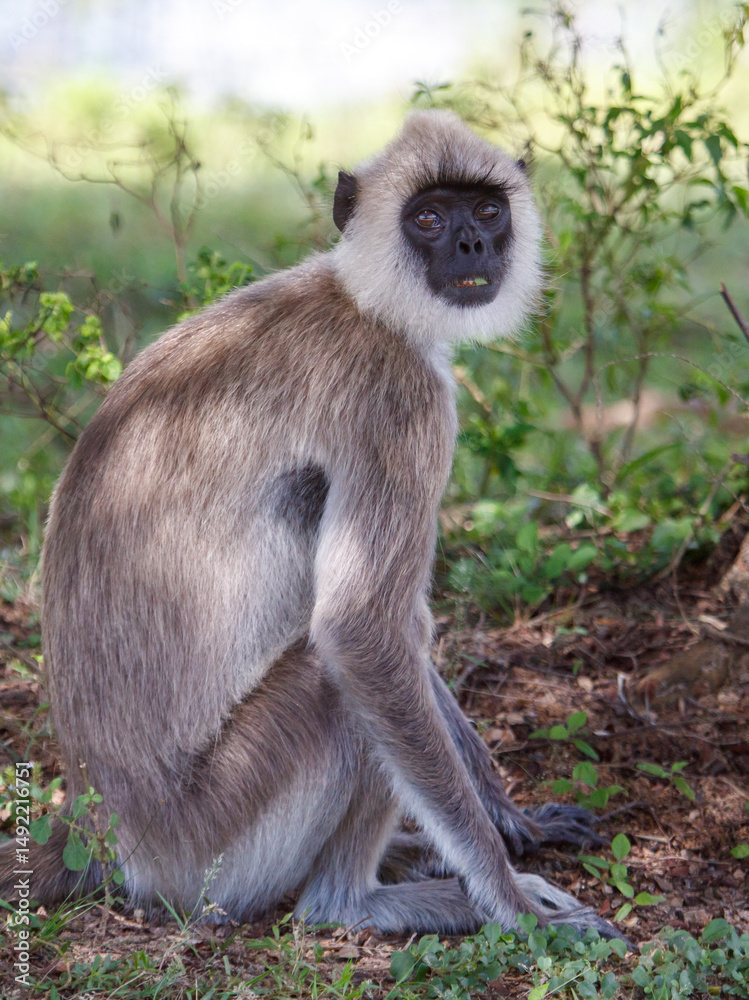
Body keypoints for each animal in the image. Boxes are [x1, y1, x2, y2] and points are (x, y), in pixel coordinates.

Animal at [0, 110, 622, 940]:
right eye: (429, 217)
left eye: (487, 209)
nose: (472, 247)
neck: (362, 303)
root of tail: (102, 831)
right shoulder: (401, 401)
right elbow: (361, 629)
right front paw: (512, 904)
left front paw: (510, 821)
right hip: (214, 841)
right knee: (342, 675)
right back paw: (361, 897)